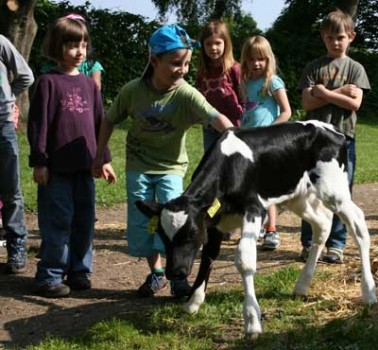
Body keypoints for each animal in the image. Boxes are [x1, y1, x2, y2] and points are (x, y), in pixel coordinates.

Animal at [135, 121, 376, 336]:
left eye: (192, 233)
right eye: (161, 234)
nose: (175, 272)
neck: (229, 166)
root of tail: (333, 130)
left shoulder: (255, 209)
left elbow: (245, 259)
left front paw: (252, 320)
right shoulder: (214, 222)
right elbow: (208, 256)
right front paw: (194, 302)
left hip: (335, 191)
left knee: (358, 224)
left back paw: (369, 293)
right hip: (298, 196)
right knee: (323, 225)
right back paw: (302, 285)